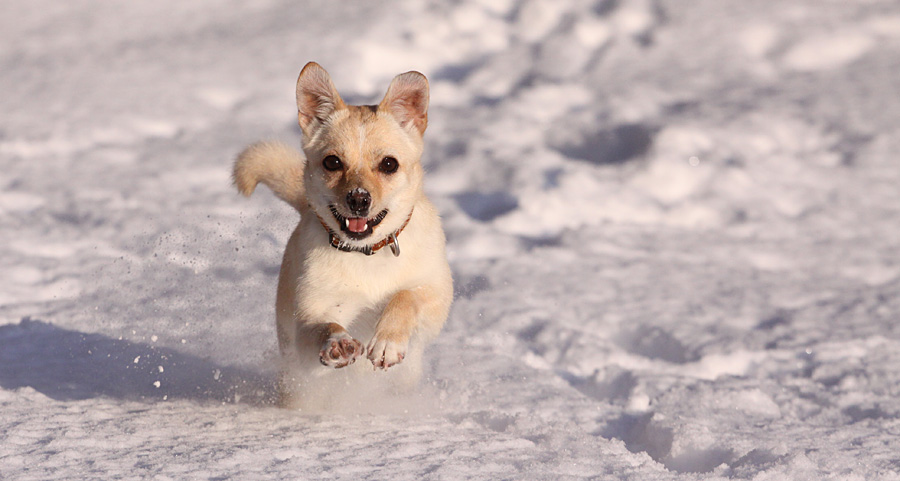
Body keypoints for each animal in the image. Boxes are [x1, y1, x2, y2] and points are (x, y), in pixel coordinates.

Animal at [232, 62, 454, 408]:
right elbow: (323, 327)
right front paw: (337, 343)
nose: (358, 199)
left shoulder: (437, 296)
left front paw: (387, 342)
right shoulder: (308, 321)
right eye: (332, 162)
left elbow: (405, 297)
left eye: (389, 164)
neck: (368, 254)